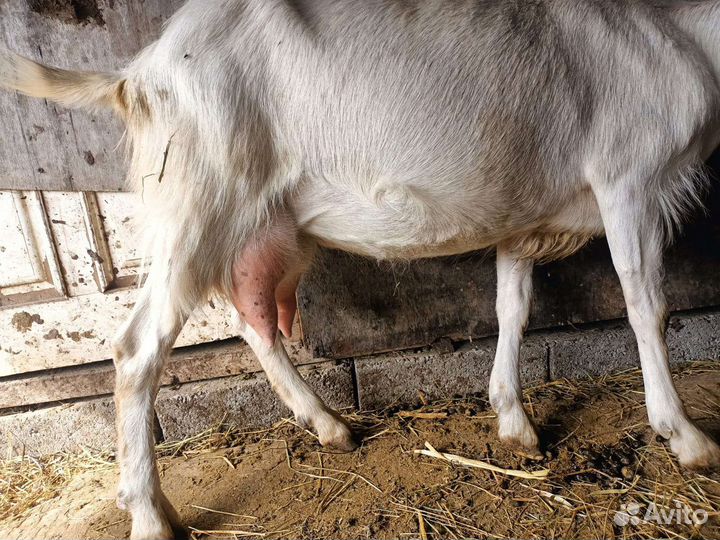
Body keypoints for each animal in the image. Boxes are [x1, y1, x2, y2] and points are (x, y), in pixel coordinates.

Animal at [2, 0, 720, 538]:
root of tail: (136, 74)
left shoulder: (521, 213)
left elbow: (513, 308)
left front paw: (514, 420)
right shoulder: (631, 179)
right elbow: (646, 307)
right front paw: (685, 436)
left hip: (262, 220)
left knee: (255, 317)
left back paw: (327, 425)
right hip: (199, 196)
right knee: (136, 347)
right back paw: (151, 515)